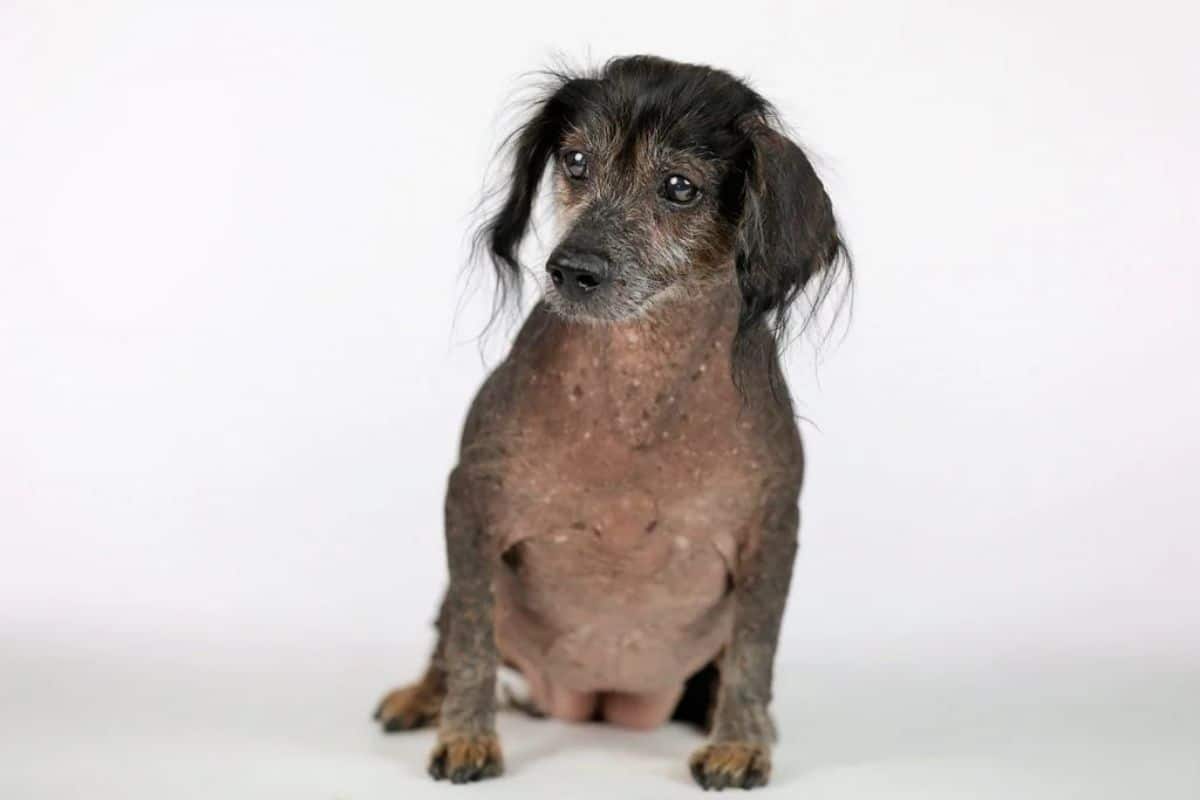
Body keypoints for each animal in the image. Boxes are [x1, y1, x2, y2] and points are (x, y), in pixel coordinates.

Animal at [369, 54, 849, 786]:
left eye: (679, 187)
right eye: (575, 161)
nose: (570, 268)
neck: (634, 388)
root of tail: (594, 703)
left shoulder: (772, 530)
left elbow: (754, 650)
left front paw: (740, 744)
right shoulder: (470, 503)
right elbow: (474, 635)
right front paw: (467, 735)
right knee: (448, 633)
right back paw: (421, 697)